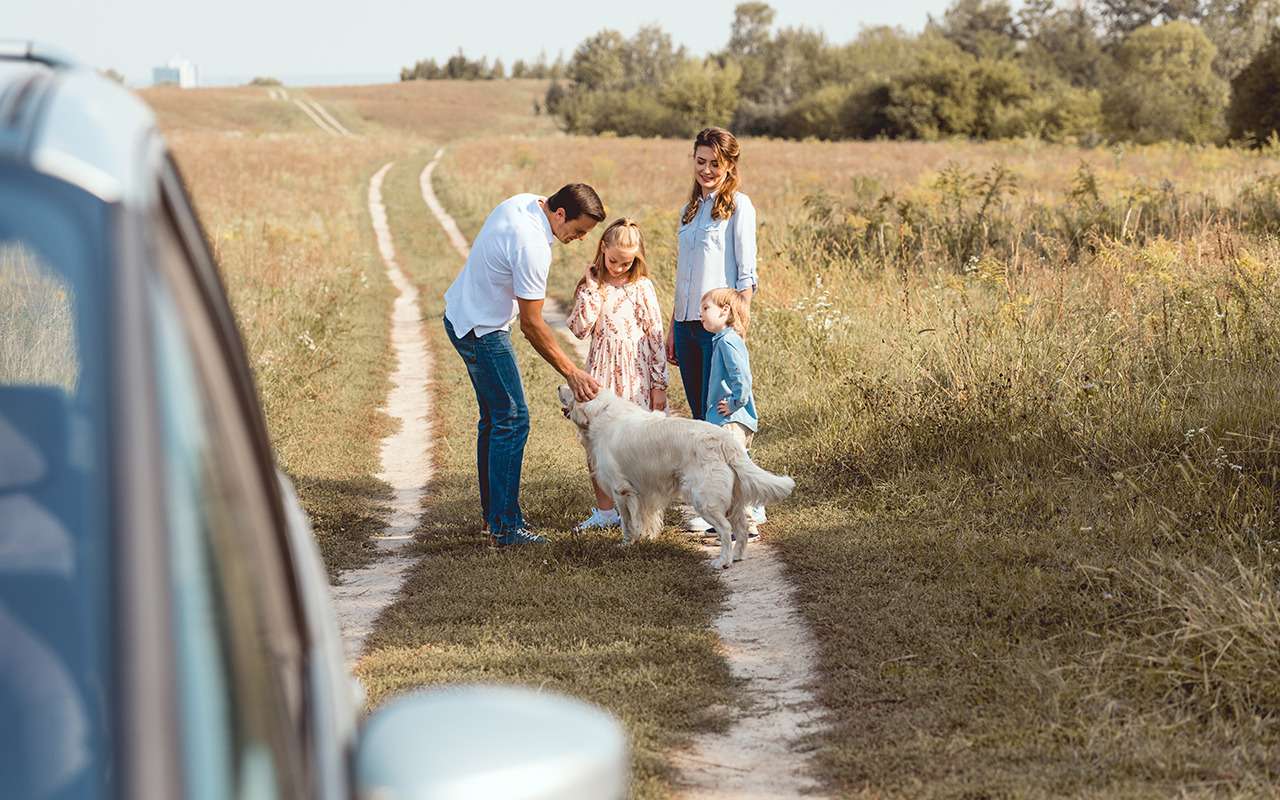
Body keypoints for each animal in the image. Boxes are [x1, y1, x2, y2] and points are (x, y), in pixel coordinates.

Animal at [558, 386, 793, 568]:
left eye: (572, 389)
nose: (559, 386)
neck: (602, 414)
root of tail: (724, 440)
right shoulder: (642, 492)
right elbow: (645, 518)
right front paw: (645, 539)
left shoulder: (621, 489)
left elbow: (627, 522)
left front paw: (626, 544)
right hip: (733, 499)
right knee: (742, 529)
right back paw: (737, 556)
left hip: (704, 498)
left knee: (726, 529)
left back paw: (722, 562)